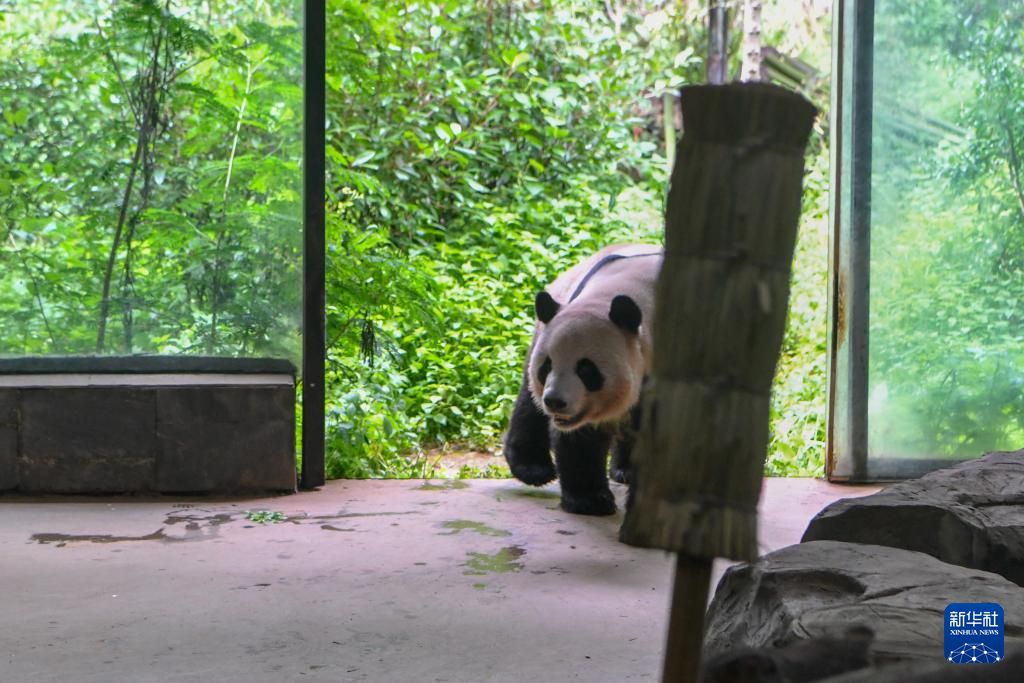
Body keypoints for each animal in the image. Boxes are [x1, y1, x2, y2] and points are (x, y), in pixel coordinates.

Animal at [503, 242, 663, 516]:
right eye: (547, 366)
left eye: (586, 370)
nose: (555, 402)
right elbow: (580, 438)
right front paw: (590, 501)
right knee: (529, 403)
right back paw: (534, 469)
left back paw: (624, 470)